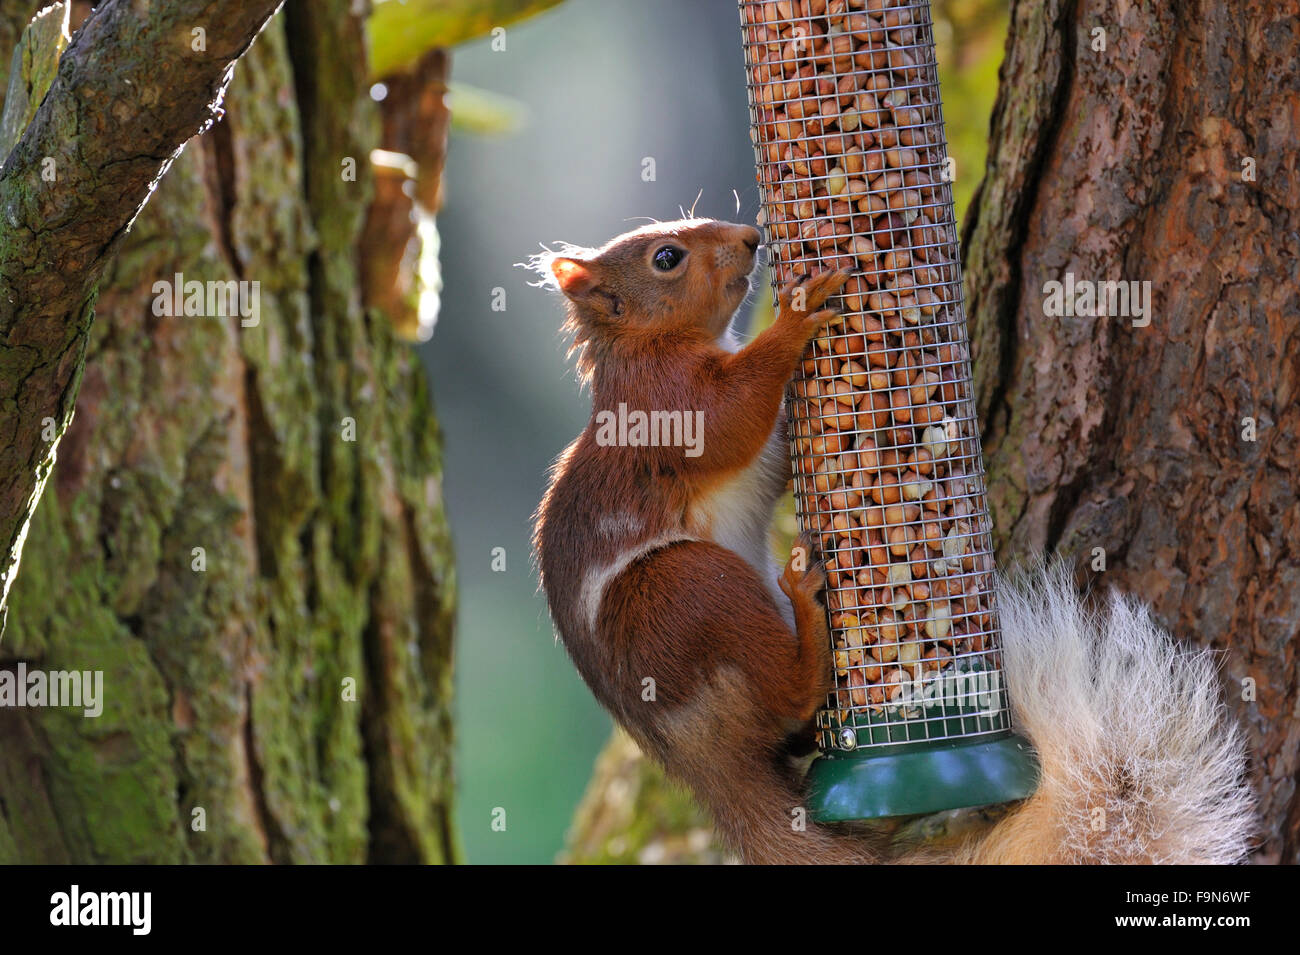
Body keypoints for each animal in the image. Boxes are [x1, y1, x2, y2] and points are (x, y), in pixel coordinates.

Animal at [533, 218, 1253, 867]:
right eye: (666, 257)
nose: (751, 237)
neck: (647, 344)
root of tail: (699, 760)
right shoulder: (666, 404)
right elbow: (730, 416)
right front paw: (796, 317)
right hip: (684, 591)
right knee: (786, 688)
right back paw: (807, 608)